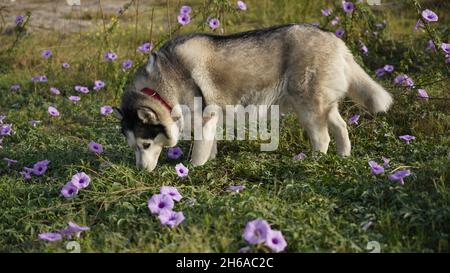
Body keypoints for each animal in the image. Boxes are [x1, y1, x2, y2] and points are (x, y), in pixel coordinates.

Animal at [115, 23, 390, 172]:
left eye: (146, 145)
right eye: (133, 147)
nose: (140, 171)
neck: (161, 88)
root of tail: (336, 40)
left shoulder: (204, 118)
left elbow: (198, 153)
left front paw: (192, 171)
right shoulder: (211, 120)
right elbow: (210, 147)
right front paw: (210, 163)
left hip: (307, 107)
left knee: (322, 138)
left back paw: (313, 162)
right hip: (322, 105)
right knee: (341, 127)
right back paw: (343, 157)